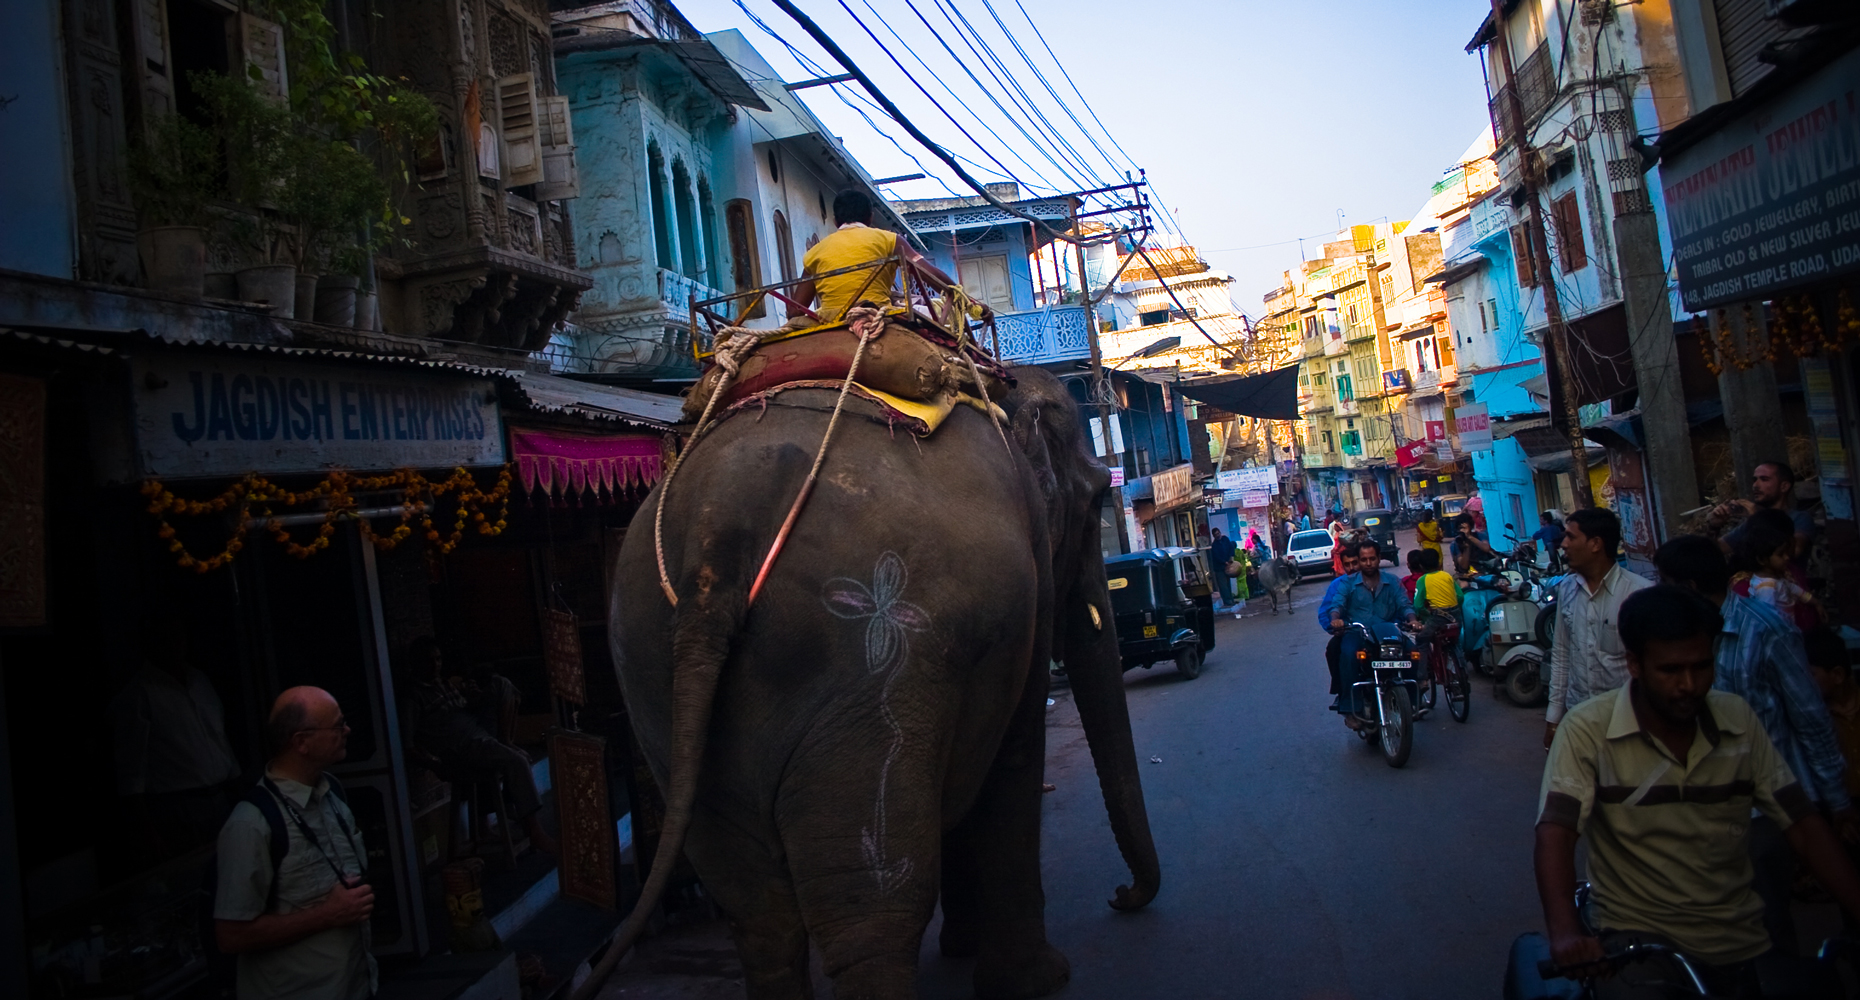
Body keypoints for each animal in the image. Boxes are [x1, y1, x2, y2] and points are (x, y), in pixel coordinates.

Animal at [593, 366, 1160, 1000]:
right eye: (1095, 499)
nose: (1122, 897)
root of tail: (721, 522)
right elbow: (1013, 747)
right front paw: (1037, 981)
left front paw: (963, 948)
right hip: (863, 682)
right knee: (869, 912)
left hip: (653, 681)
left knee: (758, 909)